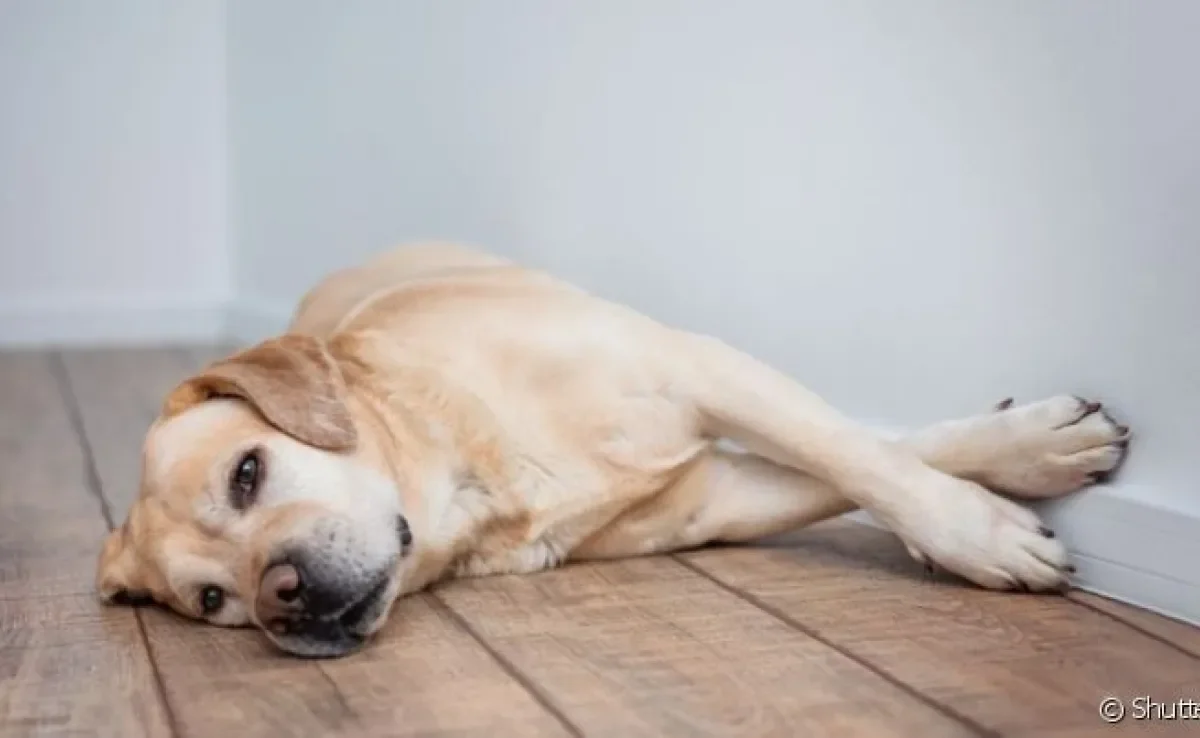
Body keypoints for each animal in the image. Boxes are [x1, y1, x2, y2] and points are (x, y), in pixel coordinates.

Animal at [93, 242, 1123, 657]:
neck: (475, 471)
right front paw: (1002, 489)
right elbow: (855, 464)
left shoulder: (698, 367)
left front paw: (988, 515)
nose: (281, 600)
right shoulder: (715, 498)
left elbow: (862, 456)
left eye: (248, 472)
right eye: (214, 602)